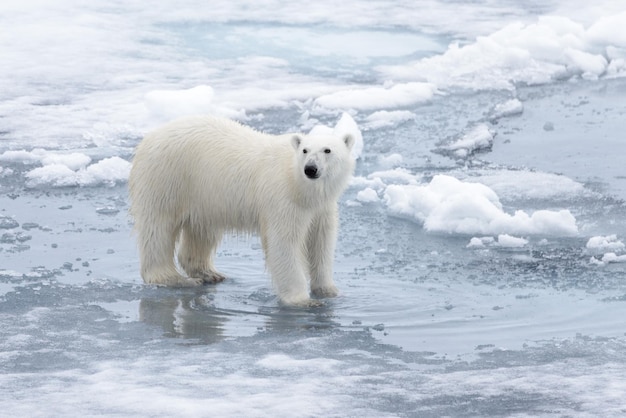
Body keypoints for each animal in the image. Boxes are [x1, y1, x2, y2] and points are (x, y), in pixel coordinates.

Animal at [129, 116, 354, 306]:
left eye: (327, 150)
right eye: (305, 151)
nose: (310, 169)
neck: (299, 185)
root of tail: (149, 137)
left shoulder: (321, 208)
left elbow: (321, 242)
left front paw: (329, 290)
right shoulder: (283, 200)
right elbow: (284, 244)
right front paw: (302, 300)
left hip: (203, 196)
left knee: (202, 230)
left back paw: (209, 273)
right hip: (167, 179)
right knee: (158, 228)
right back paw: (175, 278)